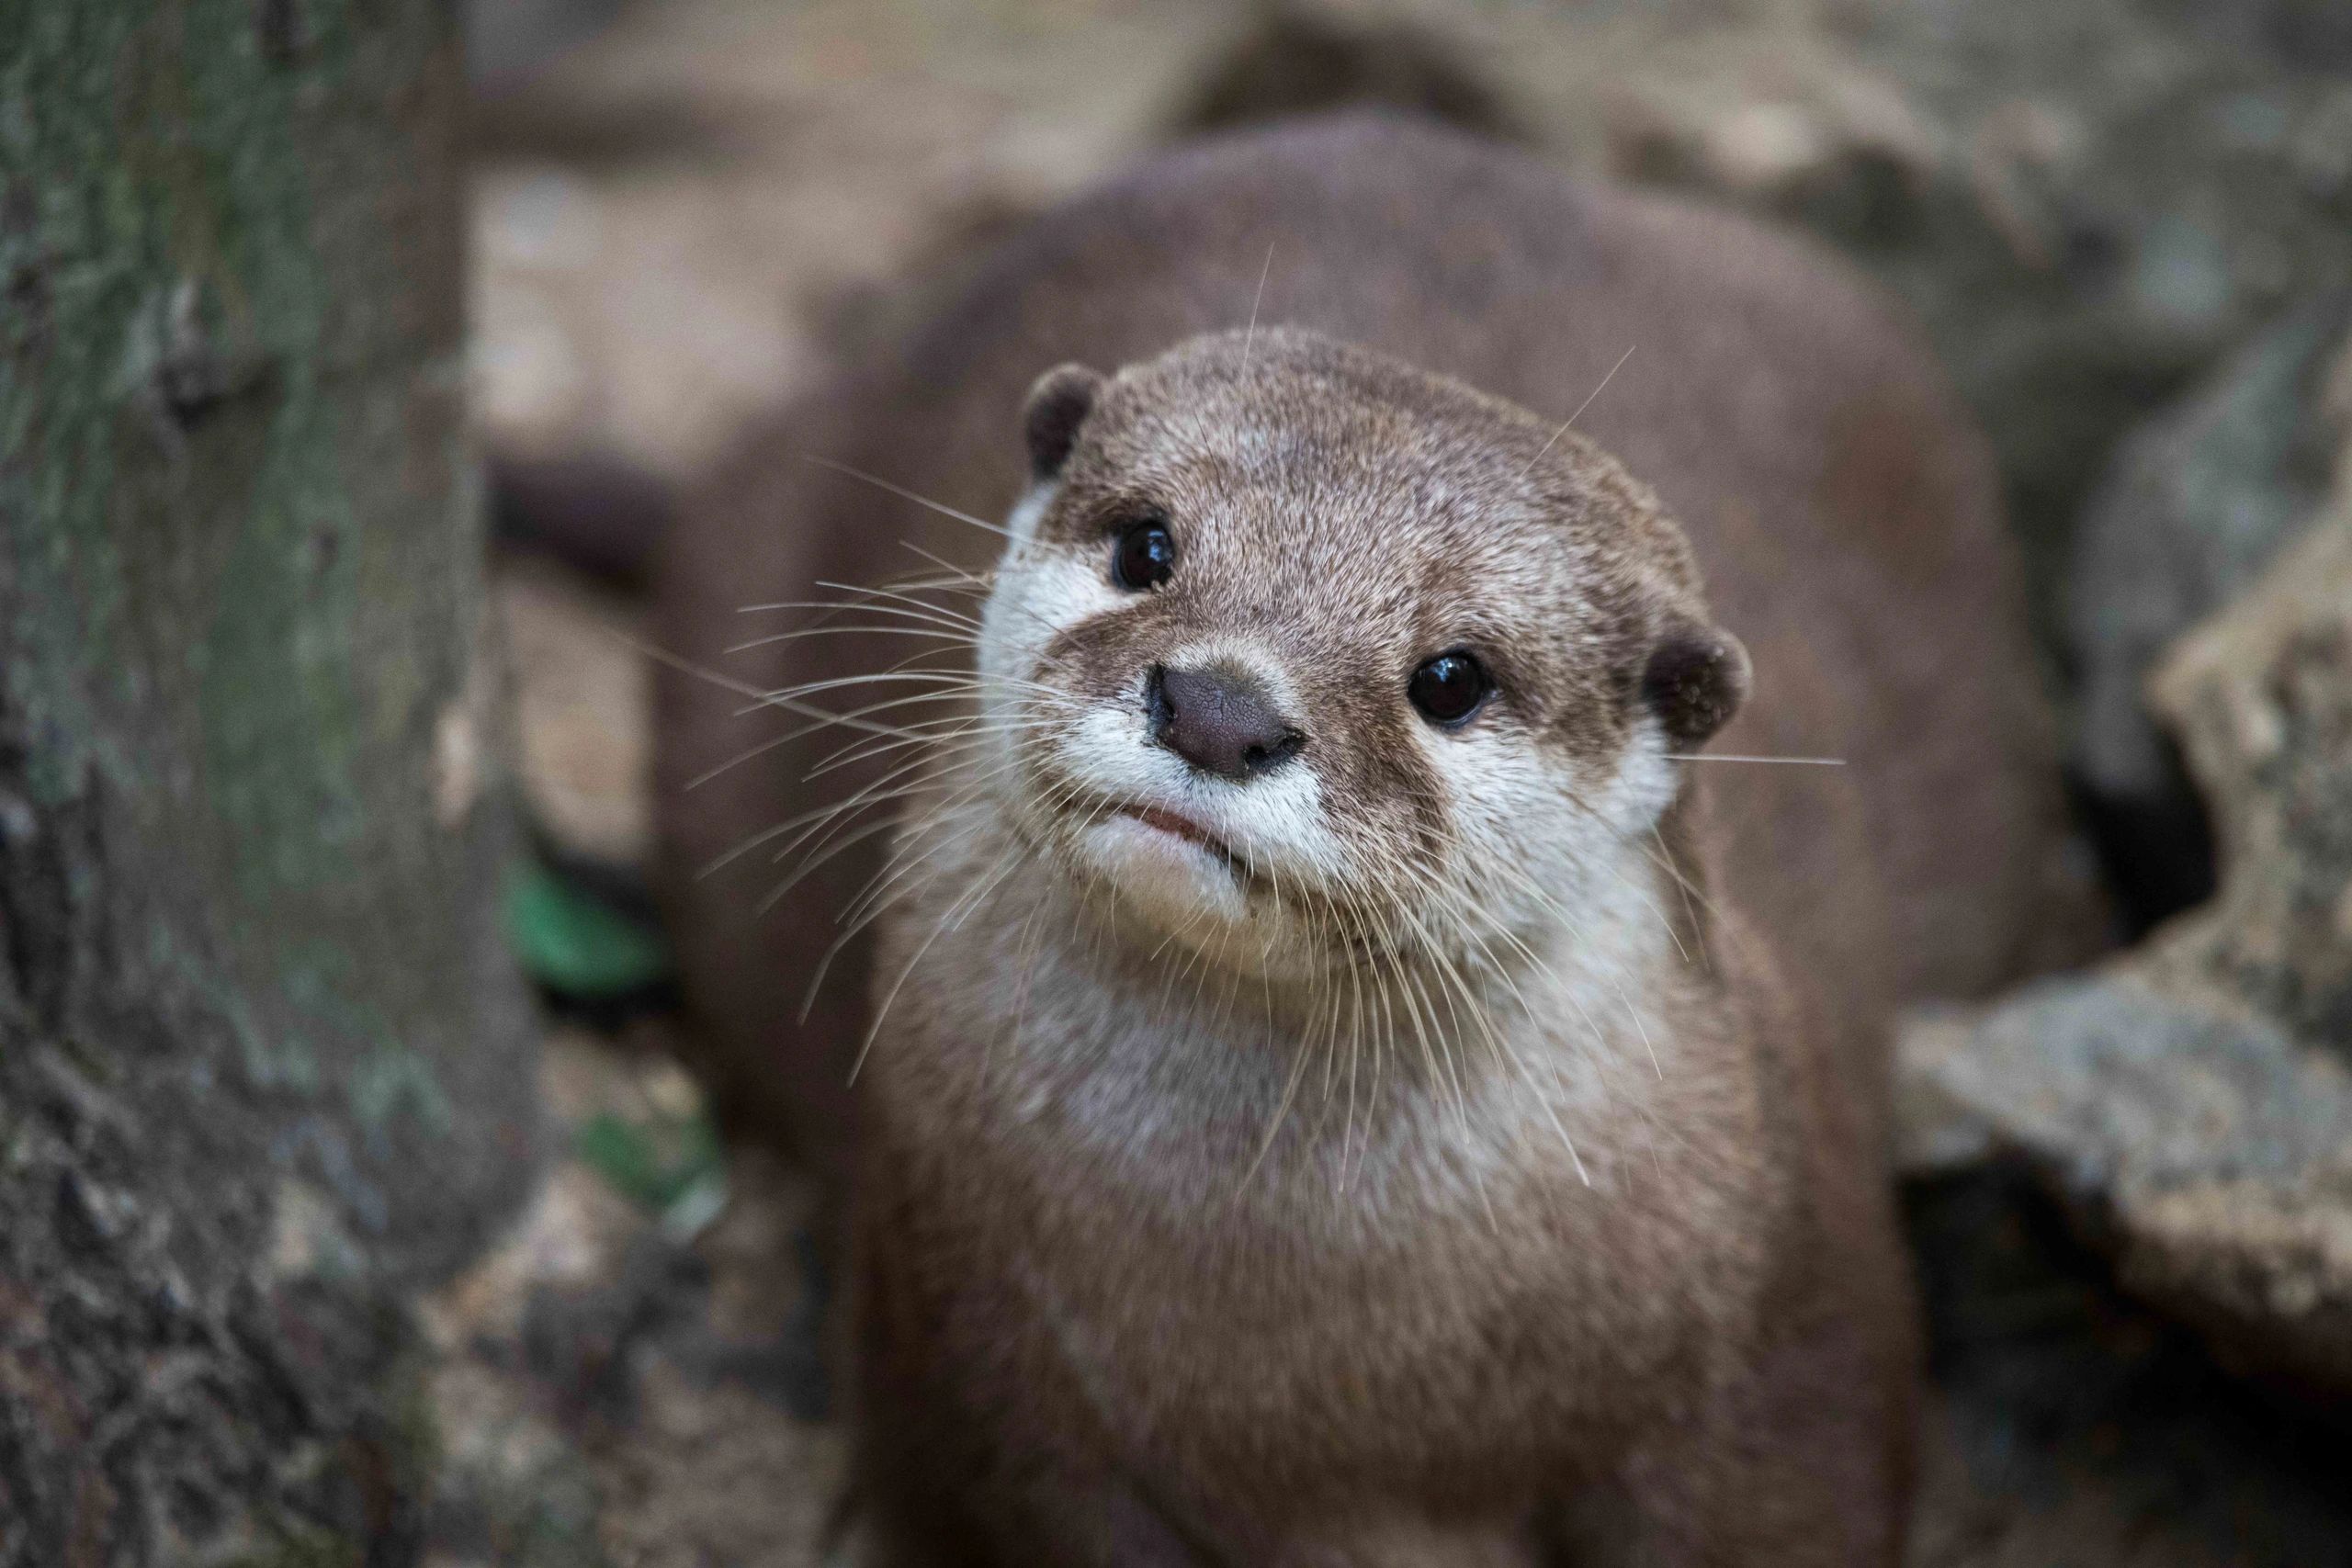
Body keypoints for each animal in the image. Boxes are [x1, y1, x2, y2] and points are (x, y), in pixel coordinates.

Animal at [653, 116, 2072, 1563]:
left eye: (1451, 676)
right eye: (1146, 544)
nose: (1219, 707)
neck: (1338, 1386)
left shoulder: (1785, 1339)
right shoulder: (974, 1363)